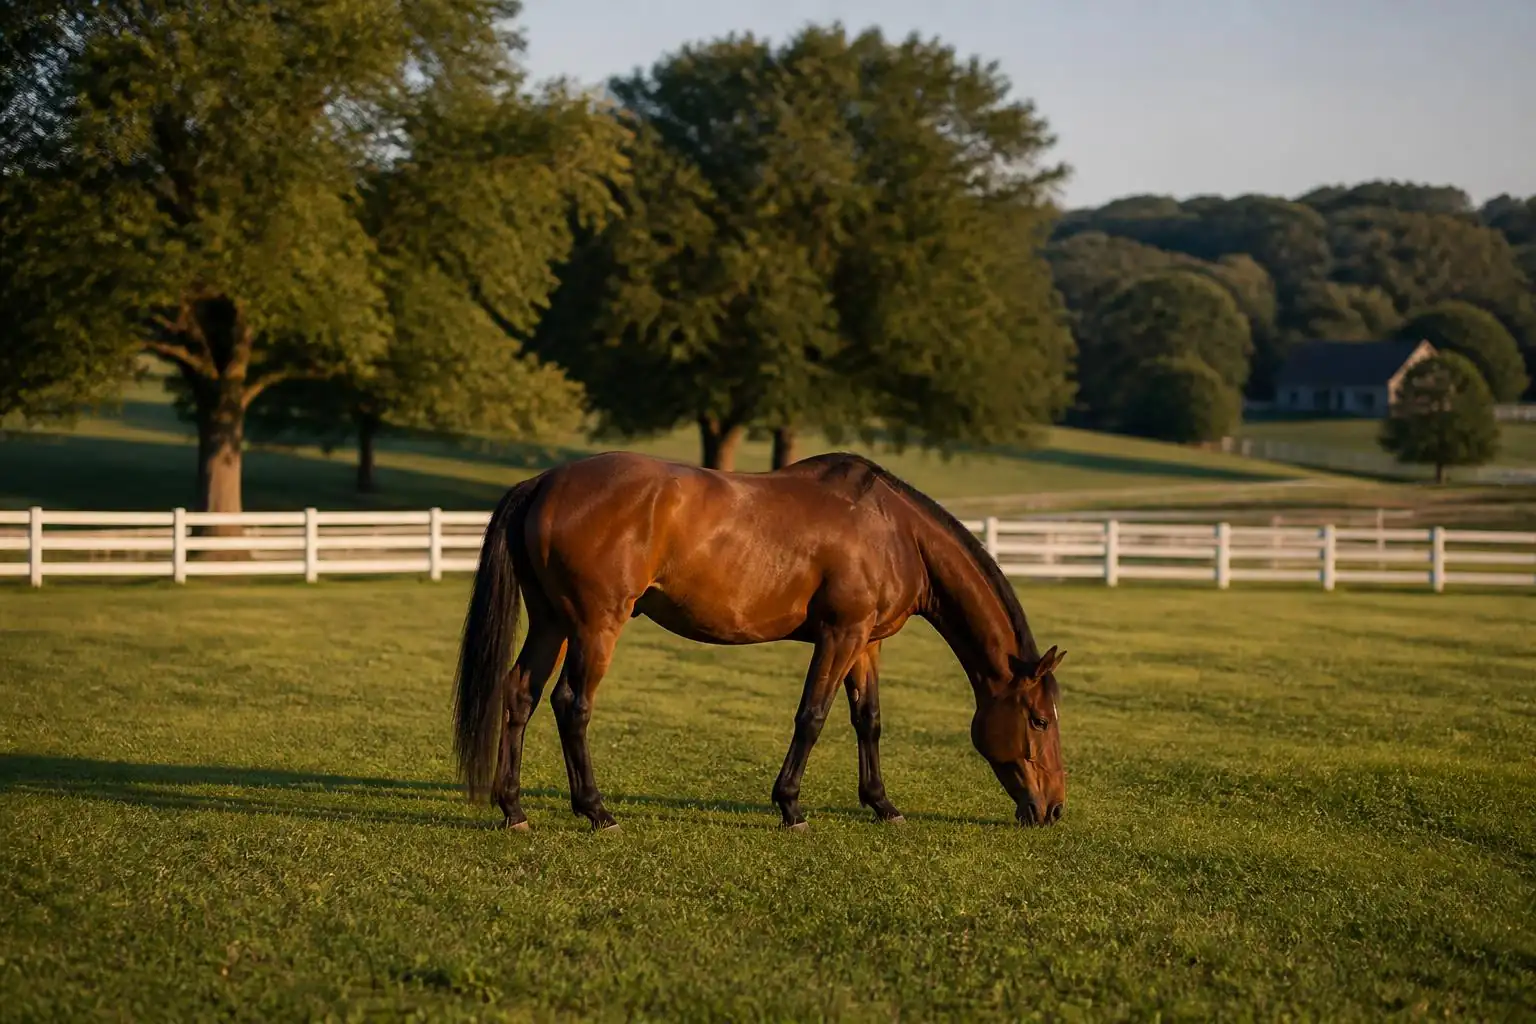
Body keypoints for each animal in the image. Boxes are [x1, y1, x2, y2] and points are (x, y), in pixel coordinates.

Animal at [453, 450, 1066, 832]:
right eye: (1039, 720)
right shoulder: (840, 636)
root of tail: (543, 484)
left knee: (520, 695)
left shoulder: (867, 643)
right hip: (595, 625)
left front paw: (882, 804)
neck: (893, 531)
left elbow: (867, 721)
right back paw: (597, 810)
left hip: (552, 622)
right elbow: (812, 717)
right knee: (571, 704)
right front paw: (790, 807)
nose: (1054, 809)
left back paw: (514, 809)